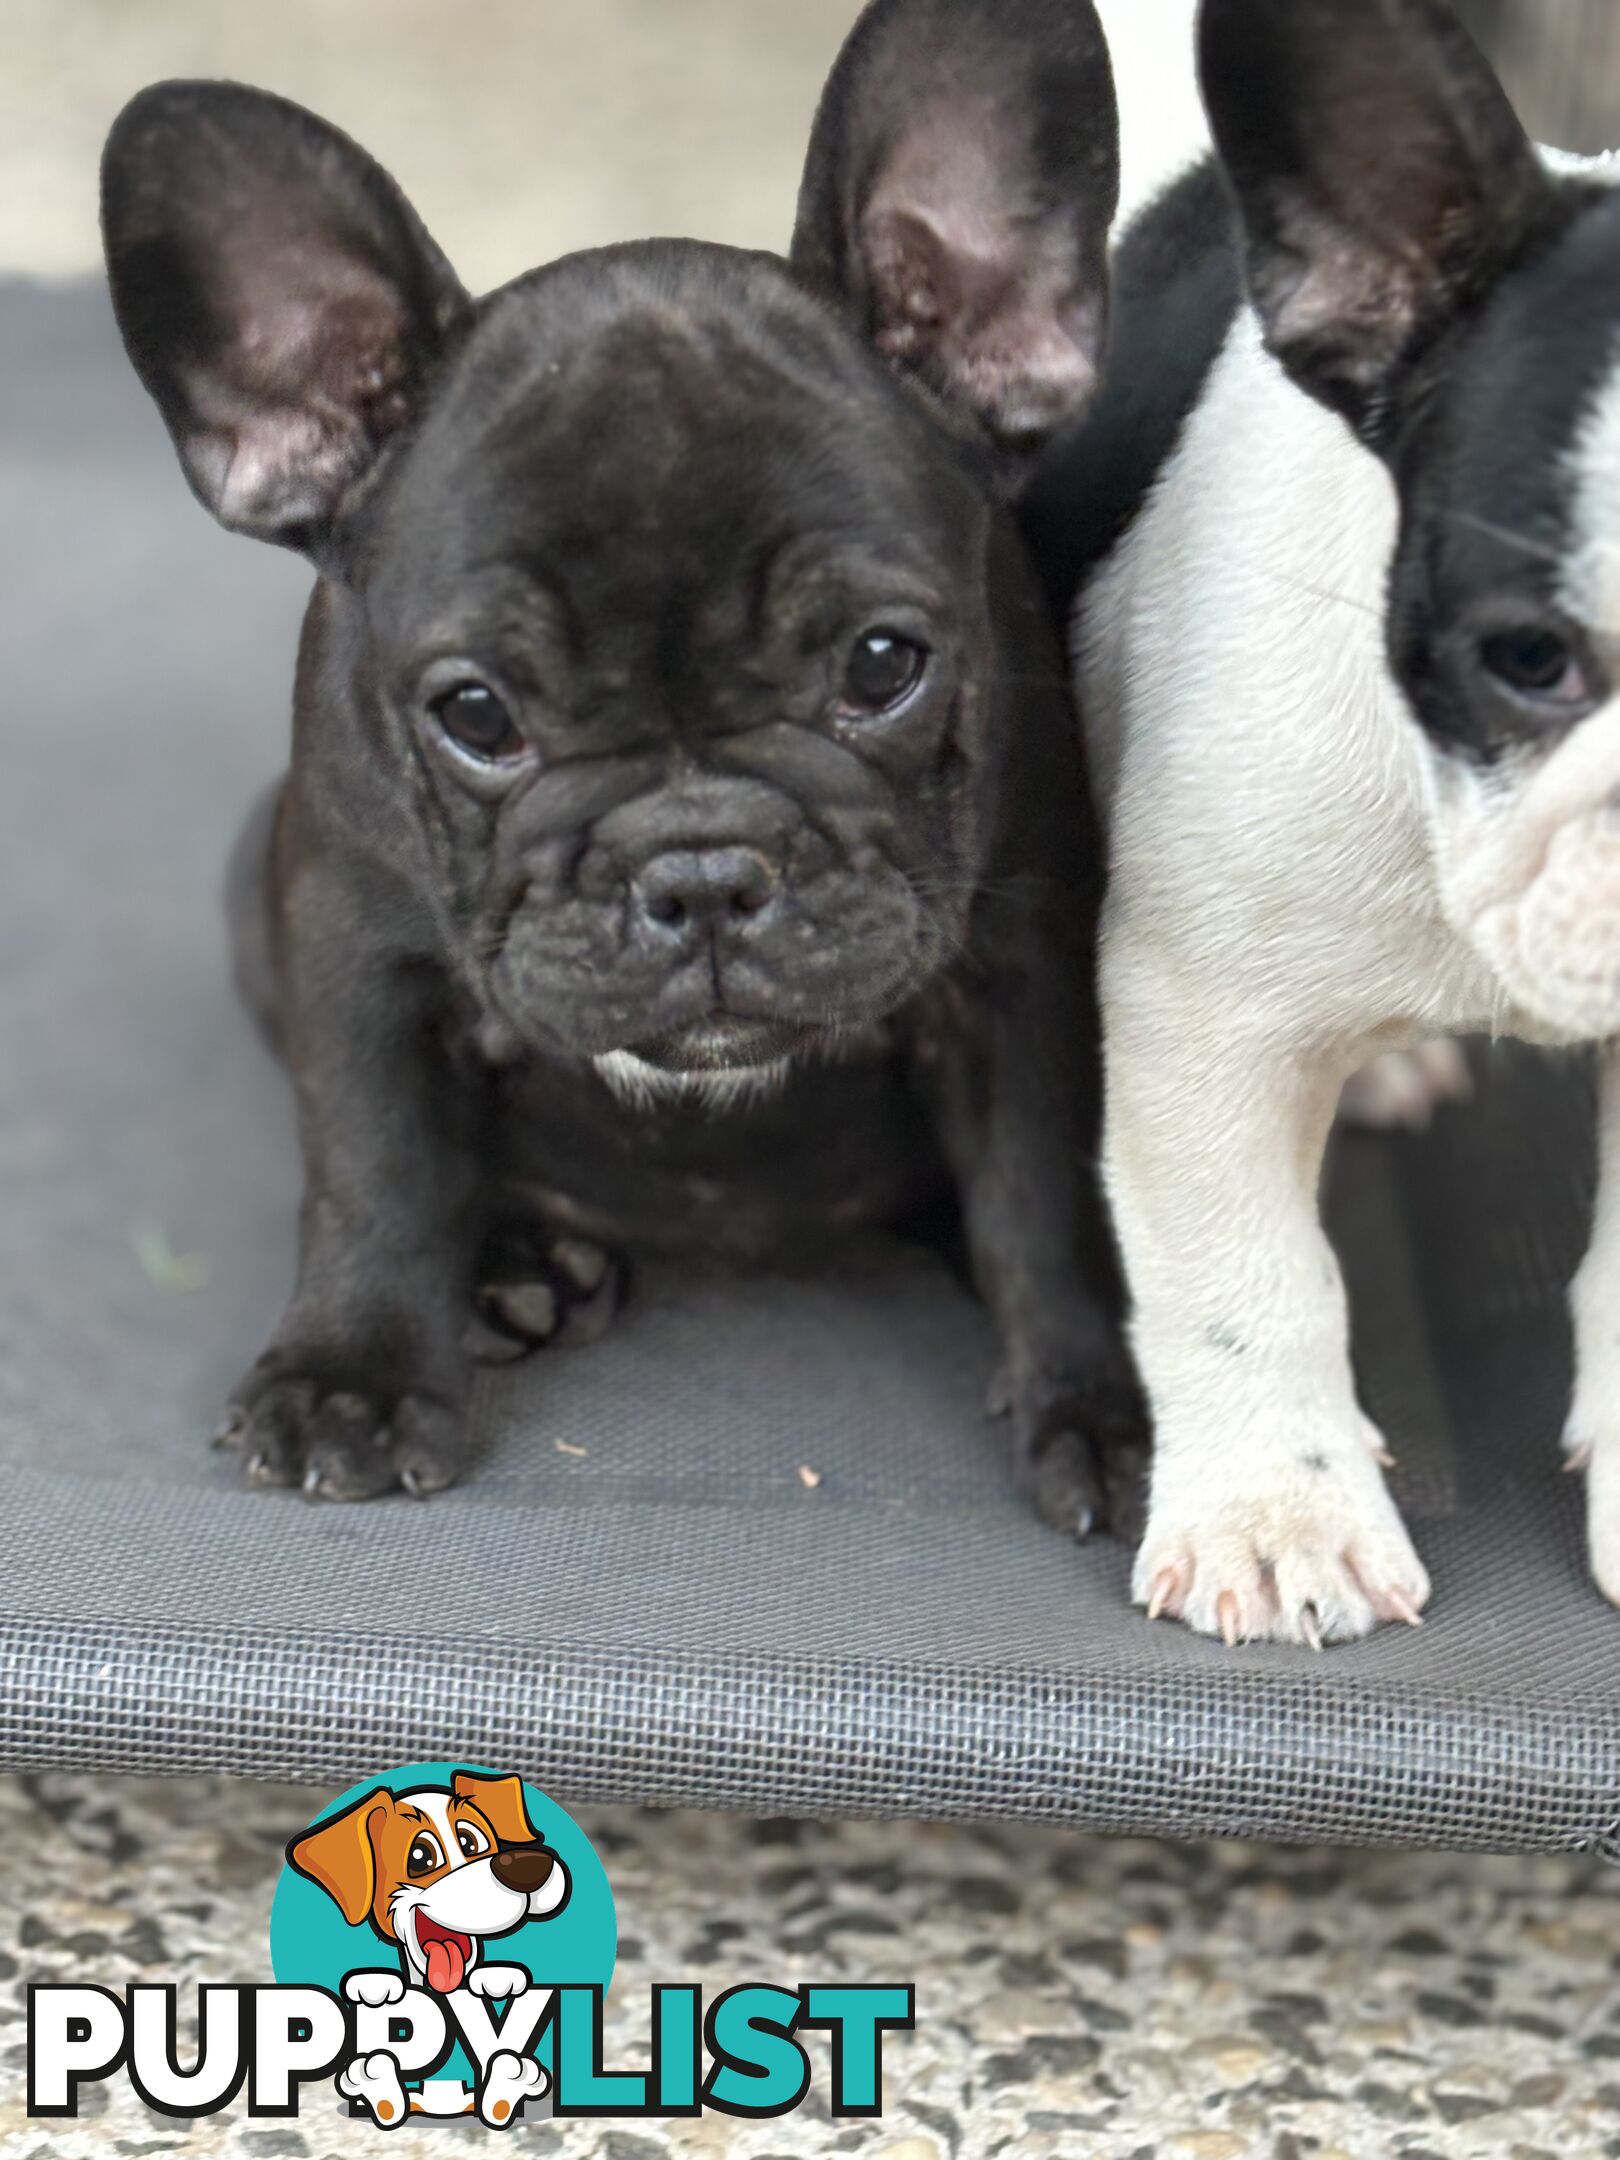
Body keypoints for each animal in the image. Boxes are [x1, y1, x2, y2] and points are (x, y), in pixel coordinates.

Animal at [101, 0, 1149, 1520]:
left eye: (882, 665)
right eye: (478, 716)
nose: (701, 872)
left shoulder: (1024, 963)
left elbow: (1047, 1191)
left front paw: (1109, 1400)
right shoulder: (353, 947)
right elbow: (376, 1160)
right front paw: (355, 1369)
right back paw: (514, 1265)